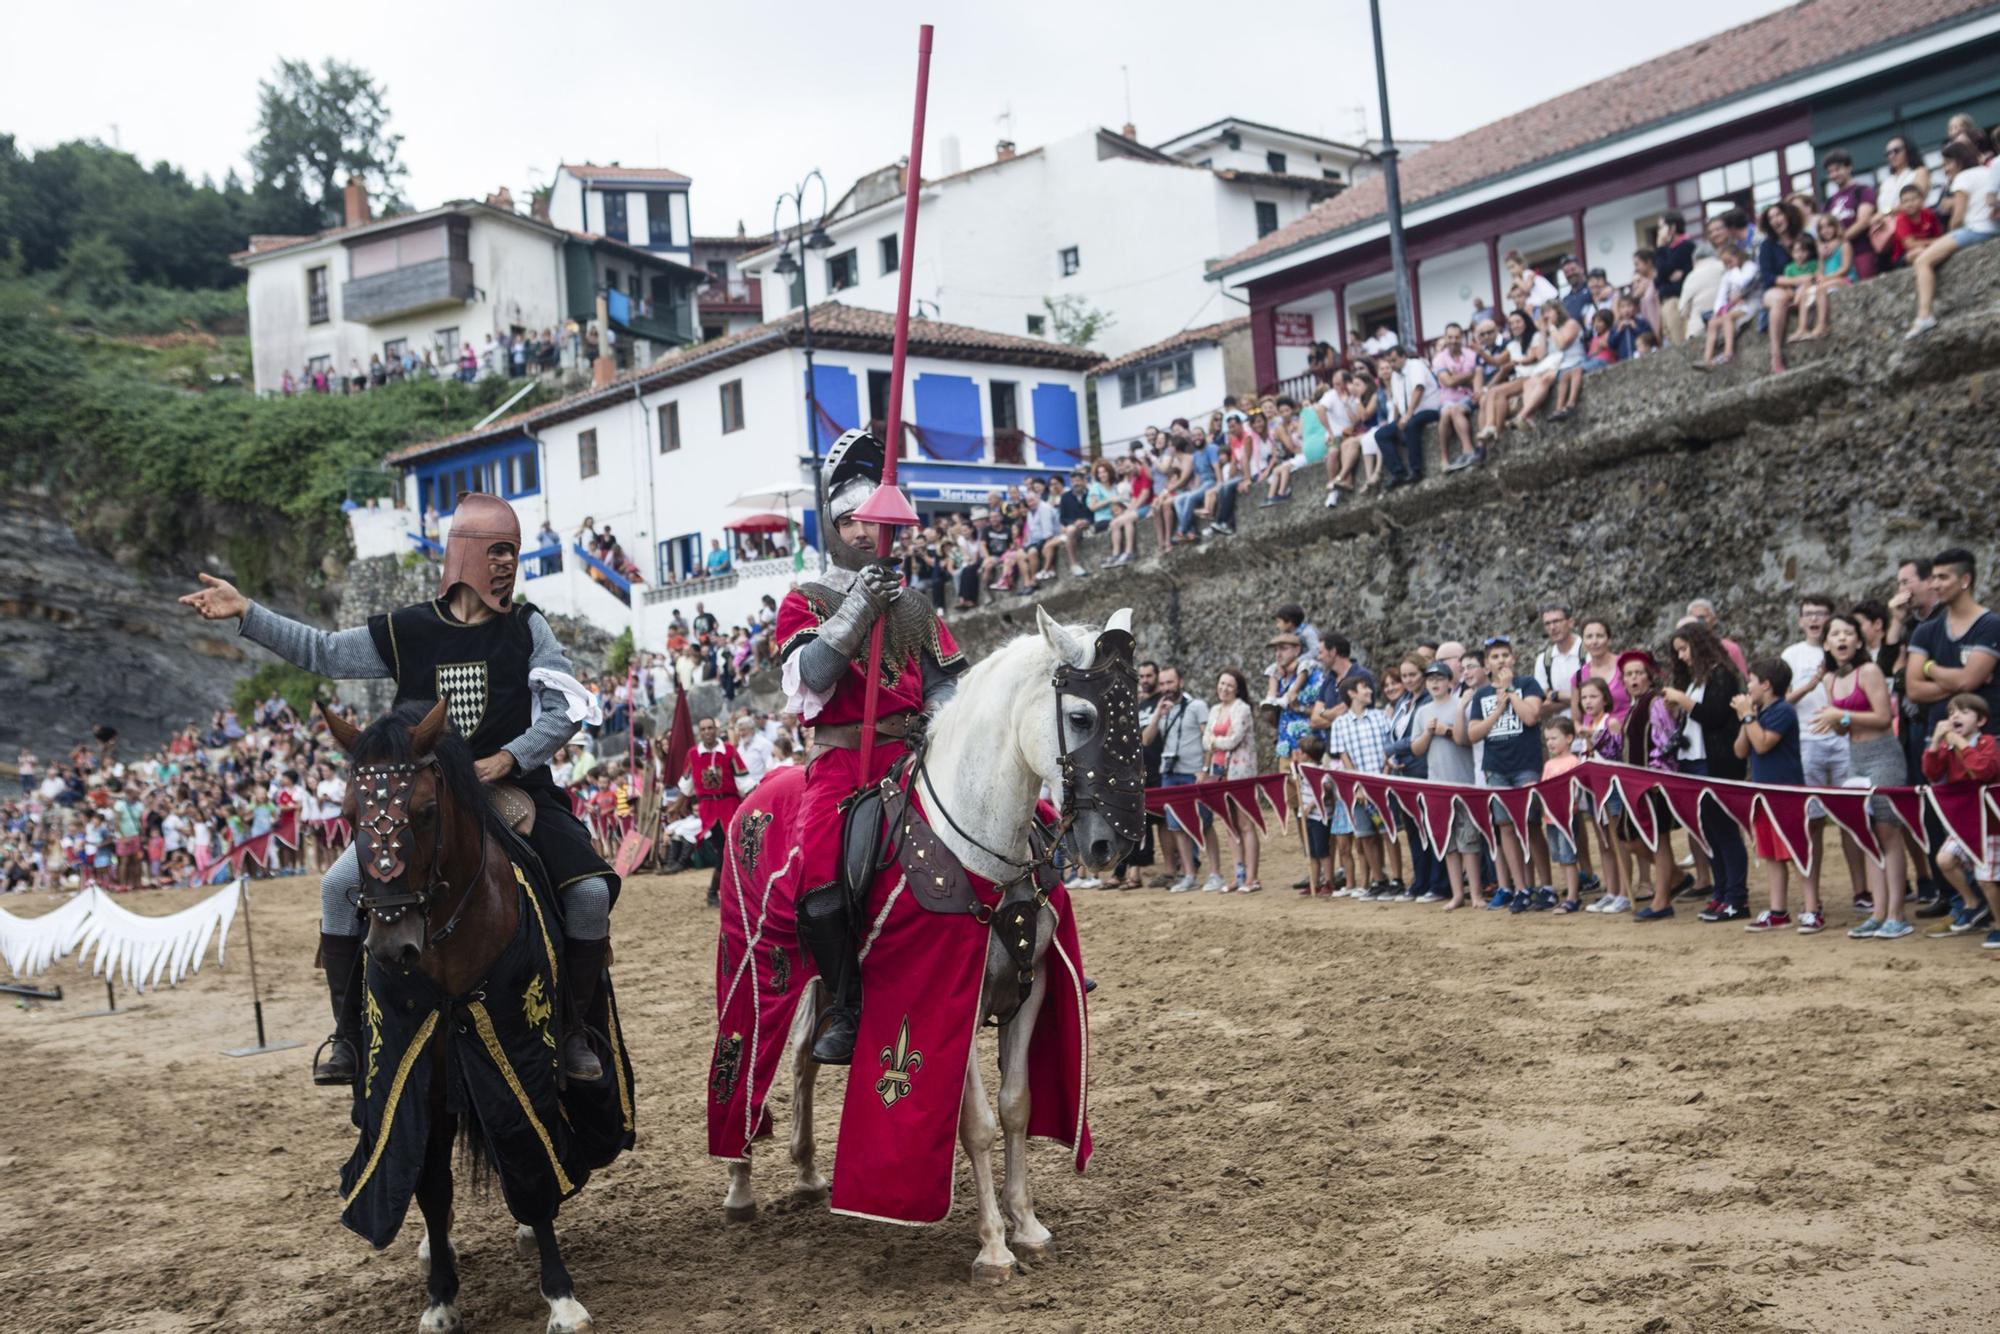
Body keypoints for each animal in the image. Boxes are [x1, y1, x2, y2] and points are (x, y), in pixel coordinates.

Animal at [324, 700, 592, 1334]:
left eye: (424, 812)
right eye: (348, 813)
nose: (392, 946)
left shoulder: (516, 1055)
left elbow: (527, 1149)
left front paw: (561, 1296)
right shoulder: (414, 1070)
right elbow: (429, 1183)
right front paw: (440, 1298)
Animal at [724, 608, 1144, 1280]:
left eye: (1137, 713)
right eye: (1082, 717)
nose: (1115, 844)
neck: (980, 848)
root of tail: (755, 799)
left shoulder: (1030, 992)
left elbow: (1017, 1105)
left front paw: (1027, 1226)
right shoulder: (951, 1001)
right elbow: (975, 1123)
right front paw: (993, 1247)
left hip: (821, 980)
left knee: (803, 1057)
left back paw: (810, 1174)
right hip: (755, 961)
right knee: (745, 1060)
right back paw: (739, 1184)